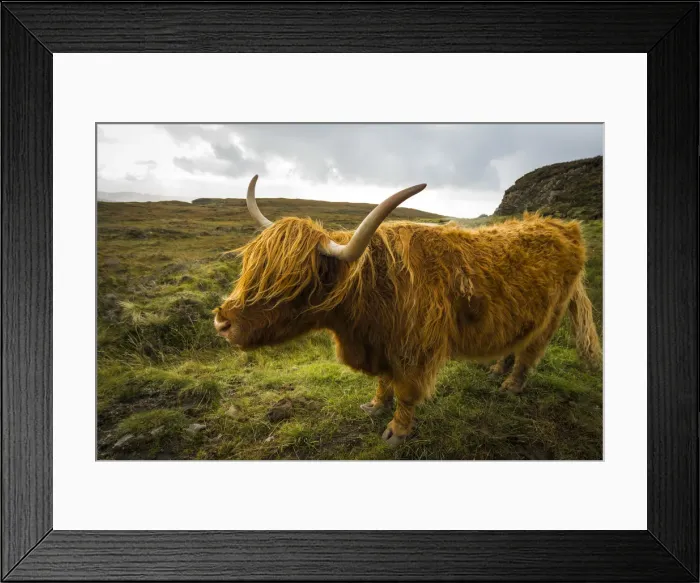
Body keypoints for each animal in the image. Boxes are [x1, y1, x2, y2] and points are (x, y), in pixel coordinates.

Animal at [214, 175, 602, 446]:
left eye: (291, 283)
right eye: (250, 267)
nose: (221, 322)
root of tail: (564, 226)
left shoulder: (414, 348)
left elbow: (406, 391)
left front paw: (396, 431)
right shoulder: (383, 344)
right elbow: (385, 381)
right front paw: (374, 405)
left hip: (552, 313)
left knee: (531, 351)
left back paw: (511, 384)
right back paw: (495, 369)